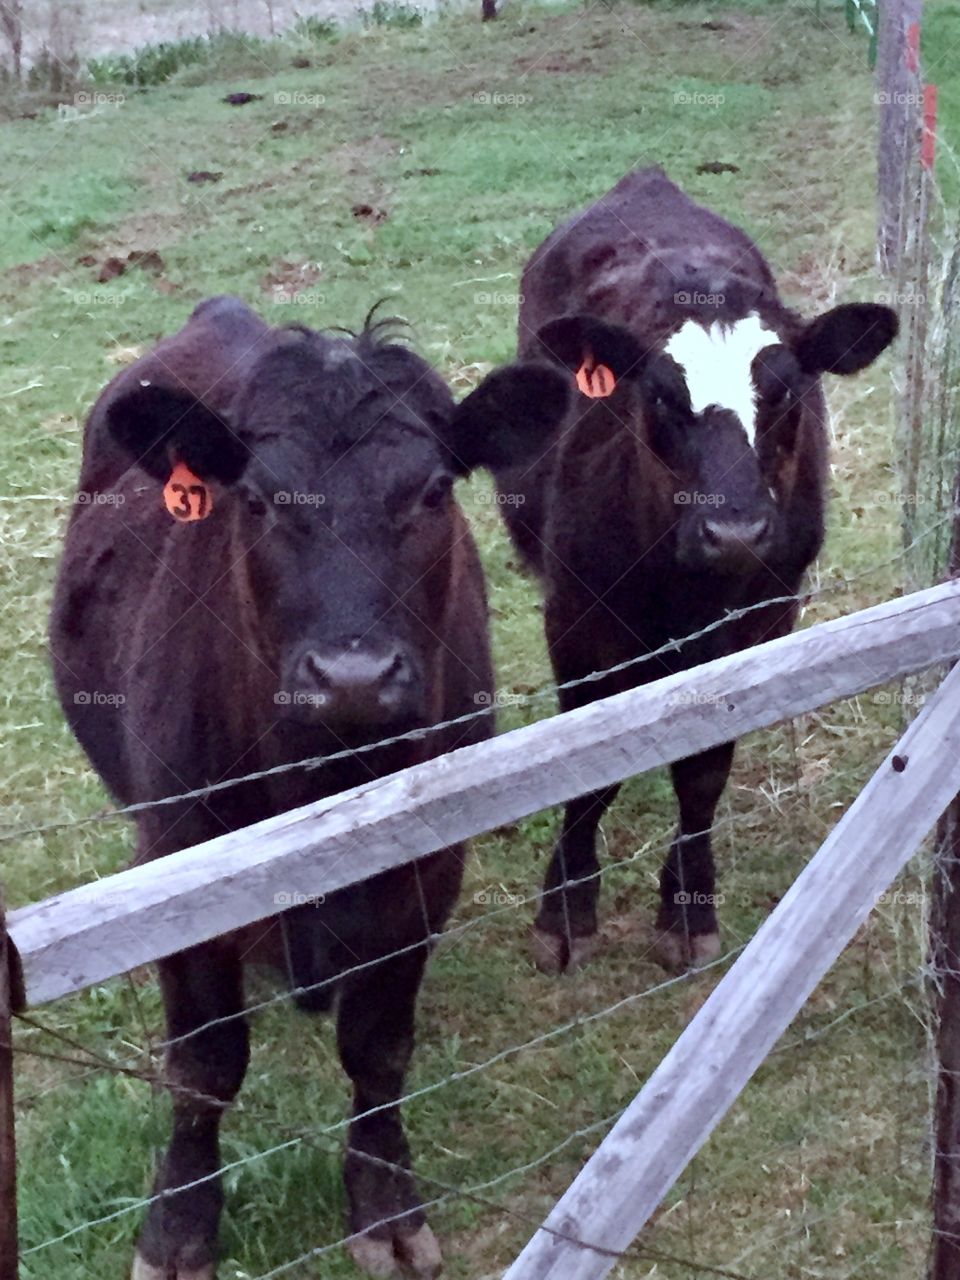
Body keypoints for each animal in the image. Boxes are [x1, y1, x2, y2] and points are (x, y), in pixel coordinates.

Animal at [48, 294, 568, 1274]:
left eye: (433, 491)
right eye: (256, 498)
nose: (352, 675)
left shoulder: (429, 867)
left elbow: (379, 1049)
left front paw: (386, 1203)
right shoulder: (177, 856)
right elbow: (204, 1070)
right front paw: (179, 1224)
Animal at [491, 167, 901, 967]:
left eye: (786, 388)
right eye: (659, 392)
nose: (734, 530)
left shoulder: (764, 617)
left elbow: (704, 771)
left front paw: (688, 908)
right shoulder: (576, 617)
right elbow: (585, 772)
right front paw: (565, 913)